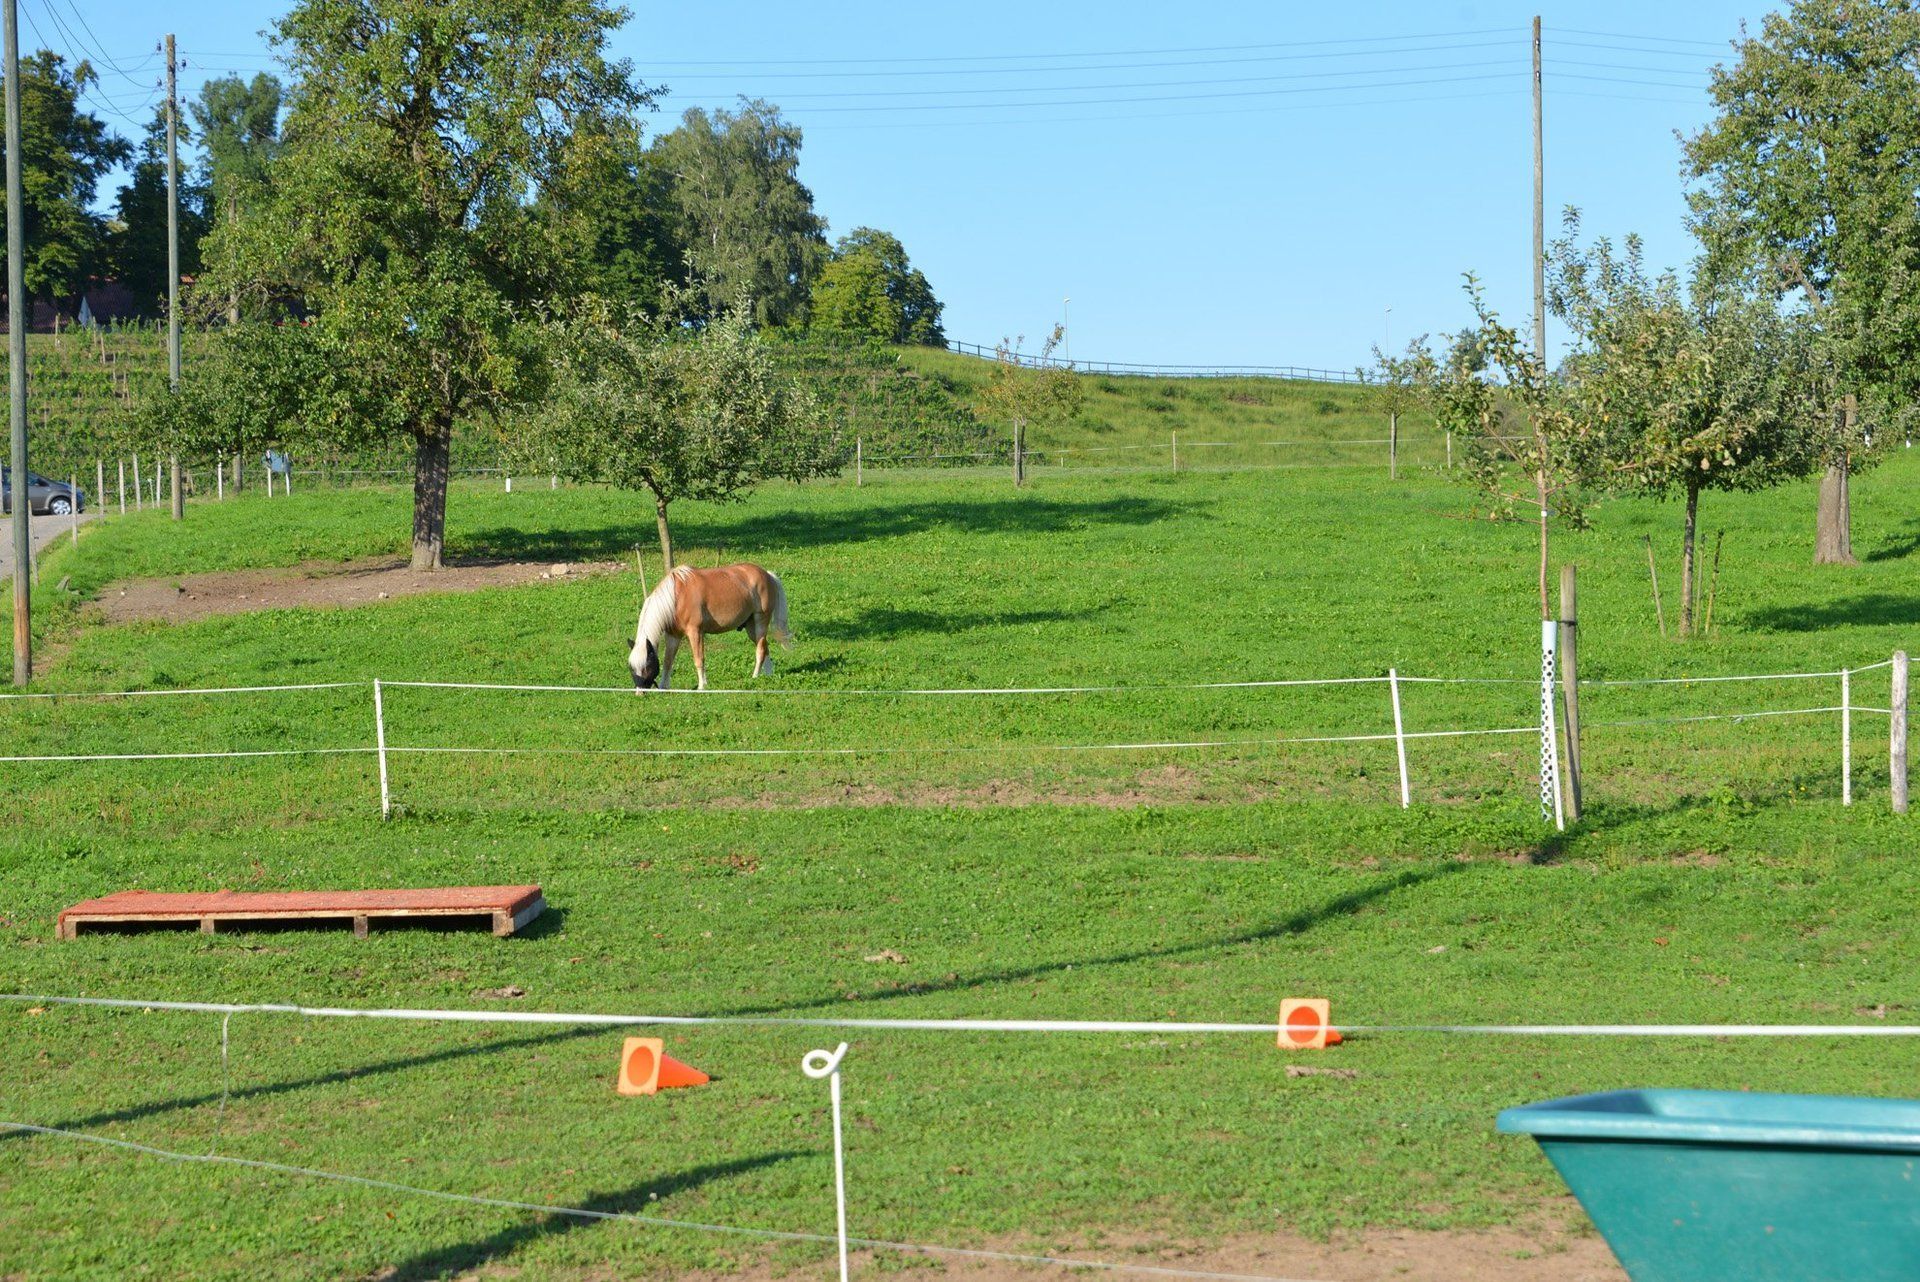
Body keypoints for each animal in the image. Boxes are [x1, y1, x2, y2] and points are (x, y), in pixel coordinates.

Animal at [628, 563, 790, 691]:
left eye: (647, 665)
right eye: (631, 667)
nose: (640, 692)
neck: (676, 596)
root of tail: (767, 575)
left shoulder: (695, 632)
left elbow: (699, 659)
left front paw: (702, 686)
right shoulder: (673, 635)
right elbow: (668, 661)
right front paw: (663, 686)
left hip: (760, 621)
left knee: (761, 650)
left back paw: (755, 677)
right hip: (751, 628)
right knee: (765, 647)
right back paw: (768, 675)